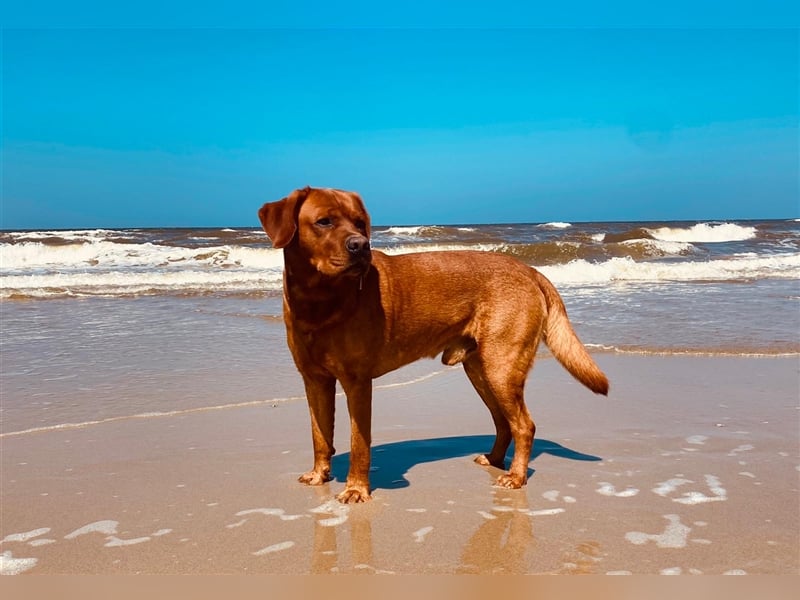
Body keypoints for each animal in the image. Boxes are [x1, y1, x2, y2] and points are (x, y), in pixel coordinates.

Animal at [260, 186, 608, 502]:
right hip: (480, 369)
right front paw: (320, 475)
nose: (361, 245)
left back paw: (516, 476)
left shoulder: (357, 382)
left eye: (359, 223)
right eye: (324, 221)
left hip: (502, 367)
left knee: (524, 424)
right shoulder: (314, 380)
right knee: (503, 421)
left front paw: (356, 489)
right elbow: (320, 435)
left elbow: (359, 443)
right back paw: (494, 459)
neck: (318, 301)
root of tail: (531, 270)